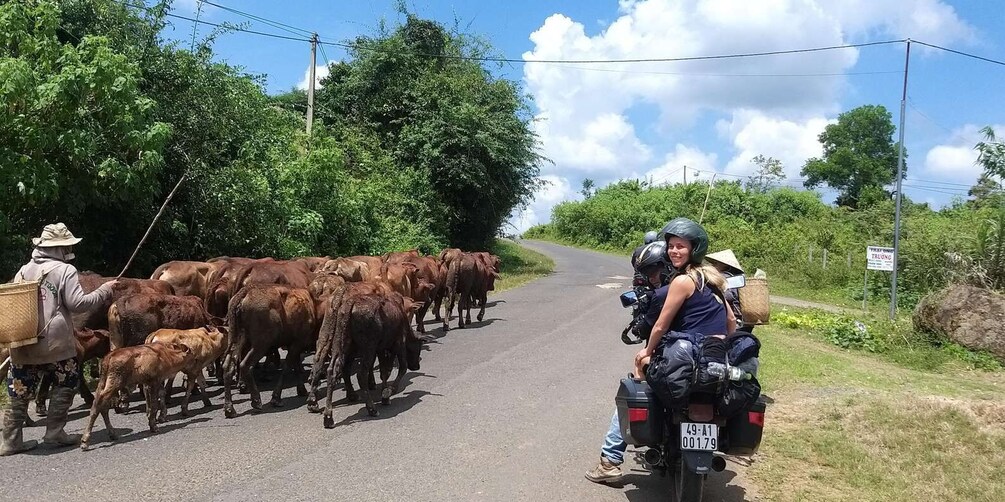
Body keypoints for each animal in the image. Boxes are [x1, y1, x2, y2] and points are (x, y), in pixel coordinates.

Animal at [223, 285, 317, 417]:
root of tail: (244, 292)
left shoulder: (295, 345)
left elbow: (296, 366)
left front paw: (301, 389)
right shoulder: (298, 342)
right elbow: (288, 367)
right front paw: (276, 398)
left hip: (237, 339)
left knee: (228, 367)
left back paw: (229, 408)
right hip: (261, 344)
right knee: (245, 365)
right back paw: (256, 401)